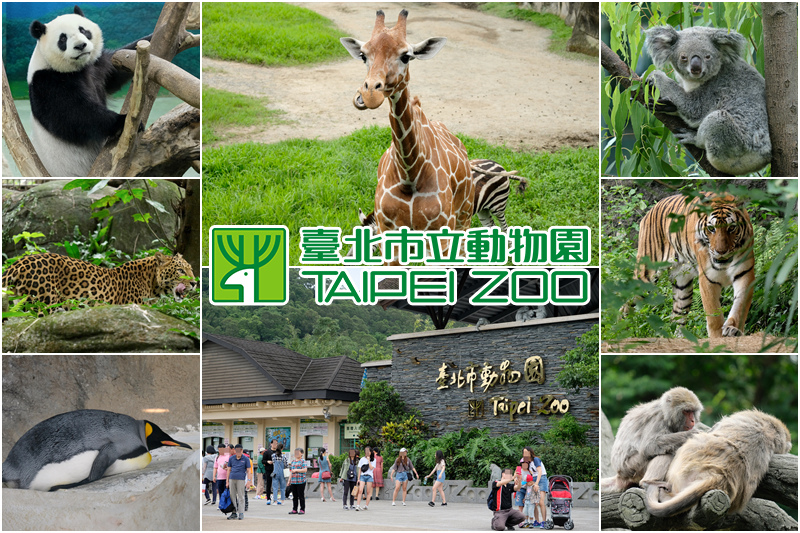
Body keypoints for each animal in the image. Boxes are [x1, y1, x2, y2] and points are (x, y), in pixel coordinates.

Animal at [27, 5, 147, 177]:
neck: (76, 68)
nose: (80, 46)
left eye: (83, 30)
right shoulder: (46, 82)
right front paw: (122, 121)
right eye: (62, 39)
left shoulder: (97, 65)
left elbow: (116, 72)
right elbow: (74, 115)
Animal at [340, 8, 476, 245]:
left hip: (464, 216)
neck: (409, 175)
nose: (369, 94)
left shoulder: (443, 229)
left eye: (406, 56)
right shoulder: (387, 228)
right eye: (363, 55)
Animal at [628, 192, 752, 336]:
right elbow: (713, 315)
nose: (721, 251)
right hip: (645, 276)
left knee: (677, 317)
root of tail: (650, 210)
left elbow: (740, 305)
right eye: (711, 228)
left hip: (683, 287)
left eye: (731, 227)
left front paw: (733, 329)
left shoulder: (744, 274)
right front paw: (717, 337)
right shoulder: (708, 280)